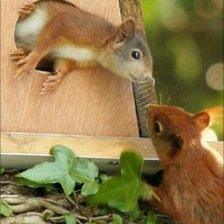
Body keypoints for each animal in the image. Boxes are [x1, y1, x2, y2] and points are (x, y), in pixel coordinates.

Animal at [11, 0, 152, 94]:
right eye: (136, 54)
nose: (149, 79)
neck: (97, 49)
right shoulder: (70, 26)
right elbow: (45, 42)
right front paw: (30, 62)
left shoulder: (72, 58)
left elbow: (64, 66)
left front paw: (57, 79)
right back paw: (27, 10)